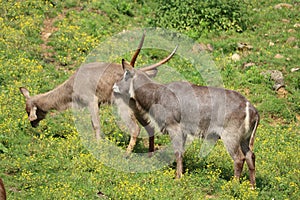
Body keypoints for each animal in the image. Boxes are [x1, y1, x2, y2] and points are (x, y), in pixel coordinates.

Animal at [19, 33, 176, 154]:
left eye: (29, 110)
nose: (32, 124)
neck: (71, 89)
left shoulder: (91, 100)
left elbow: (96, 124)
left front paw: (98, 146)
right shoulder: (98, 103)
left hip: (123, 105)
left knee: (135, 128)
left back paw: (126, 155)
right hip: (137, 107)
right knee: (149, 127)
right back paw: (150, 153)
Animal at [113, 58, 258, 188]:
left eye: (125, 74)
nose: (114, 86)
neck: (158, 94)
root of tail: (251, 108)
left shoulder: (174, 127)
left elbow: (177, 152)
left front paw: (178, 178)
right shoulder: (184, 132)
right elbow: (181, 152)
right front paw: (180, 174)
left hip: (230, 137)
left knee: (239, 158)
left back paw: (233, 186)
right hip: (244, 139)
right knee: (250, 156)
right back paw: (252, 187)